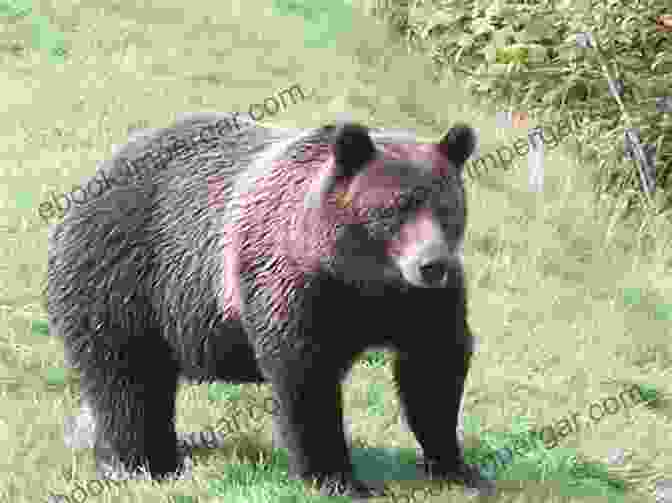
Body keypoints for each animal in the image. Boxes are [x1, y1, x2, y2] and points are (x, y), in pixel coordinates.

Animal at [48, 111, 488, 500]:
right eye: (394, 208)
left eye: (446, 207)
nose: (432, 264)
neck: (362, 279)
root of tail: (90, 180)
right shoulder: (294, 284)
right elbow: (305, 377)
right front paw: (337, 478)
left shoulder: (421, 303)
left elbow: (434, 368)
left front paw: (457, 468)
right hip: (124, 279)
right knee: (127, 381)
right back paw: (147, 463)